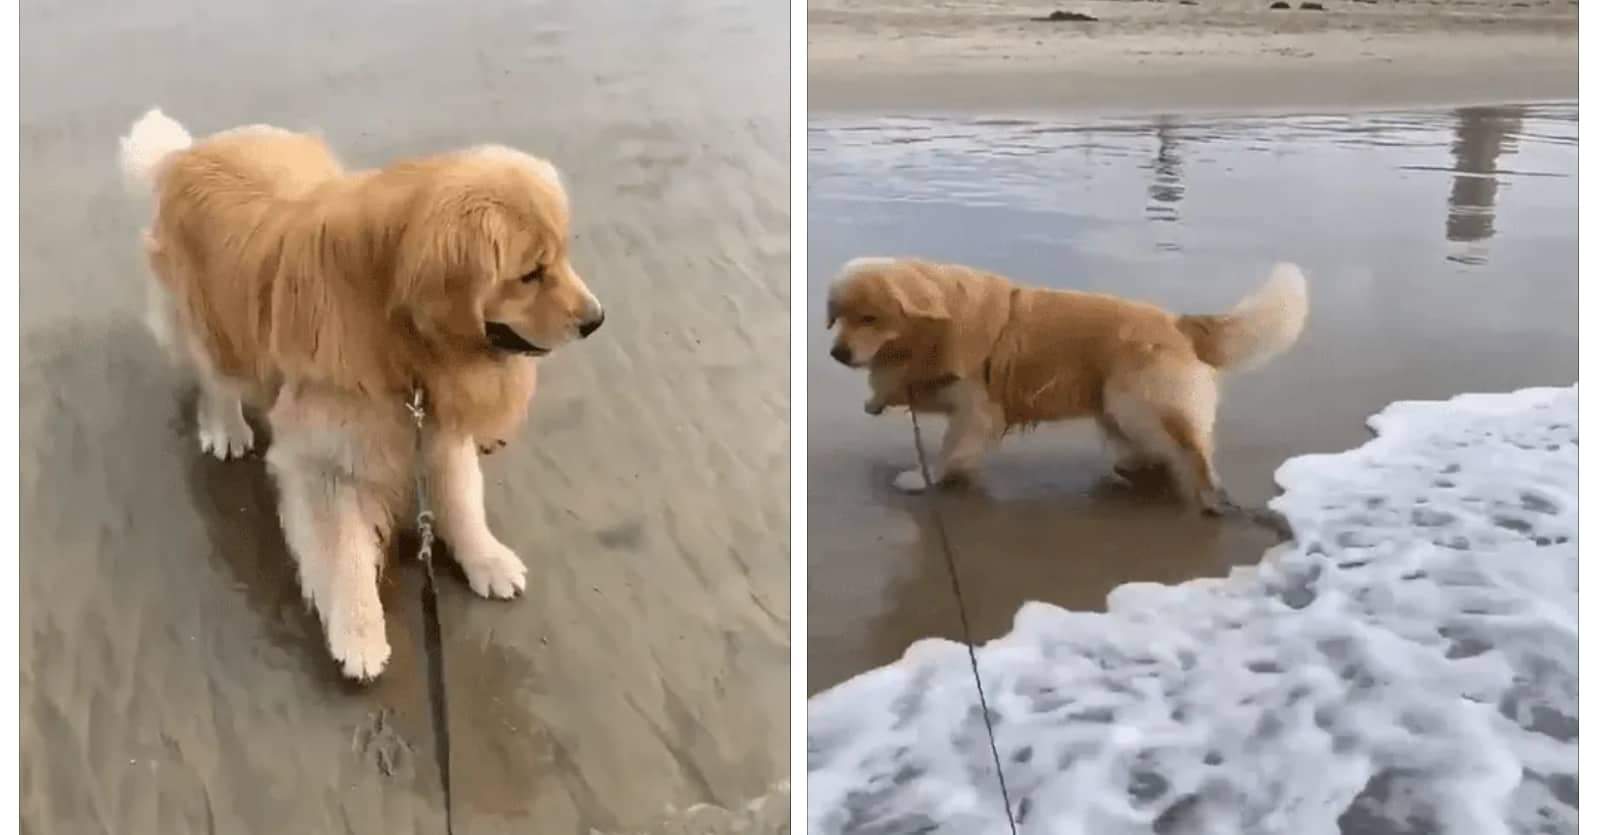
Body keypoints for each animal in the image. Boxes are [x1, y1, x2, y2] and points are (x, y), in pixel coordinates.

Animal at [116, 108, 604, 675]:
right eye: (531, 274)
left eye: (563, 258)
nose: (597, 319)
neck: (401, 340)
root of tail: (185, 153)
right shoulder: (325, 465)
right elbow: (344, 555)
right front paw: (358, 635)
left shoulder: (435, 429)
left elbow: (462, 503)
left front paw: (487, 558)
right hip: (211, 322)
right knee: (215, 378)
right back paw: (227, 427)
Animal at [832, 255, 1305, 508]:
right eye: (838, 315)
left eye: (870, 317)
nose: (838, 354)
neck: (934, 329)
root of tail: (1176, 322)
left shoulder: (976, 407)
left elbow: (952, 447)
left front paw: (924, 477)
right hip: (1116, 404)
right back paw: (1140, 463)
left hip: (1138, 401)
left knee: (1193, 451)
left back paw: (1207, 495)